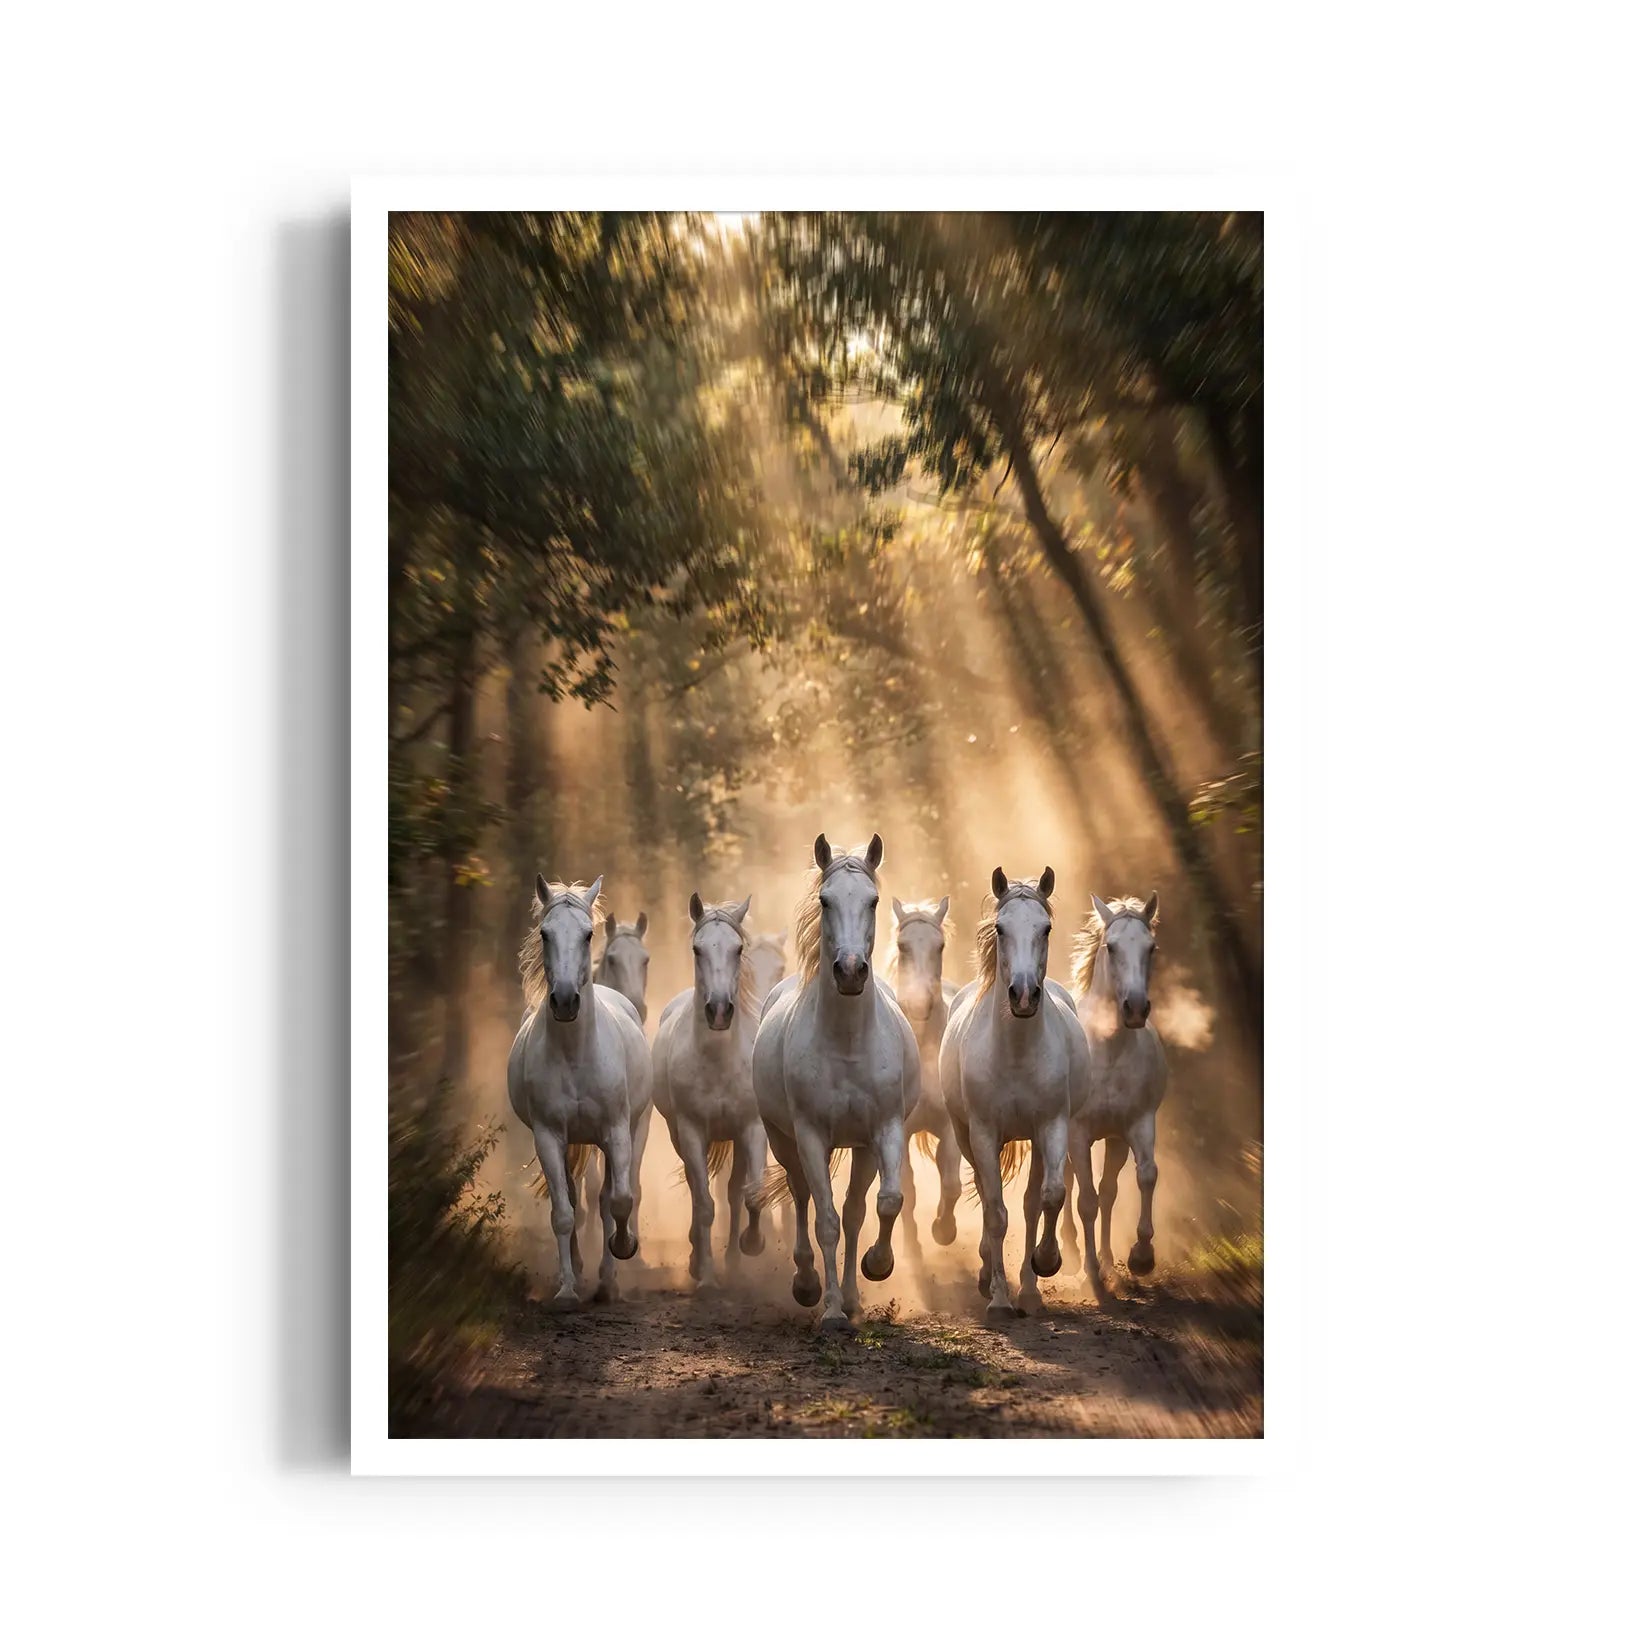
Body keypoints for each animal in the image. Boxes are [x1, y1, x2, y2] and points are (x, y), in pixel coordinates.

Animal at [507, 875, 652, 1311]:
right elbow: (564, 1212)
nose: (566, 1001)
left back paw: (608, 1277)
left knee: (611, 1196)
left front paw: (623, 1250)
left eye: (588, 935)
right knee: (573, 1197)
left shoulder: (616, 1132)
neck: (575, 1052)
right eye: (545, 933)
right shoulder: (549, 1137)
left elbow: (618, 1200)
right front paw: (567, 1289)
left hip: (633, 1130)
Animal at [651, 892, 769, 1284]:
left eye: (739, 948)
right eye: (697, 949)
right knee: (695, 1187)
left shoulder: (751, 1128)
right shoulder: (690, 1131)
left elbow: (751, 1194)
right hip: (679, 1134)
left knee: (733, 1193)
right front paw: (703, 1272)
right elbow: (703, 1203)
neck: (718, 1060)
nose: (718, 1010)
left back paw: (733, 1259)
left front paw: (751, 1245)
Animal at [751, 834, 921, 1331]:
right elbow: (824, 1219)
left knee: (854, 1211)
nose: (849, 971)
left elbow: (883, 1203)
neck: (847, 1042)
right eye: (825, 901)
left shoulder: (883, 1130)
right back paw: (807, 1283)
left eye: (872, 900)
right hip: (785, 1140)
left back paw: (853, 1297)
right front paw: (829, 1311)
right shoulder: (809, 1135)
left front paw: (875, 1268)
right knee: (803, 1197)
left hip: (859, 1147)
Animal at [938, 867, 1091, 1320]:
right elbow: (995, 1212)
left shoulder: (1052, 1126)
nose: (1023, 995)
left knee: (1030, 1202)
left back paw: (1029, 1287)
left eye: (1045, 928)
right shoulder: (984, 1133)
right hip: (967, 1137)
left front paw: (1044, 1265)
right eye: (1001, 929)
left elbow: (1049, 1197)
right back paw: (988, 1277)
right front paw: (999, 1299)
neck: (1016, 1052)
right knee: (989, 1197)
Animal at [1067, 893, 1171, 1298]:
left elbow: (1145, 1177)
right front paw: (1090, 1273)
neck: (1108, 1050)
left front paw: (1140, 1256)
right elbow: (1086, 1201)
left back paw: (1109, 1262)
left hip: (1113, 1142)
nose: (1136, 1008)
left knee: (1108, 1192)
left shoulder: (1135, 1127)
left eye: (1151, 947)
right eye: (1111, 947)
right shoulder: (1077, 1134)